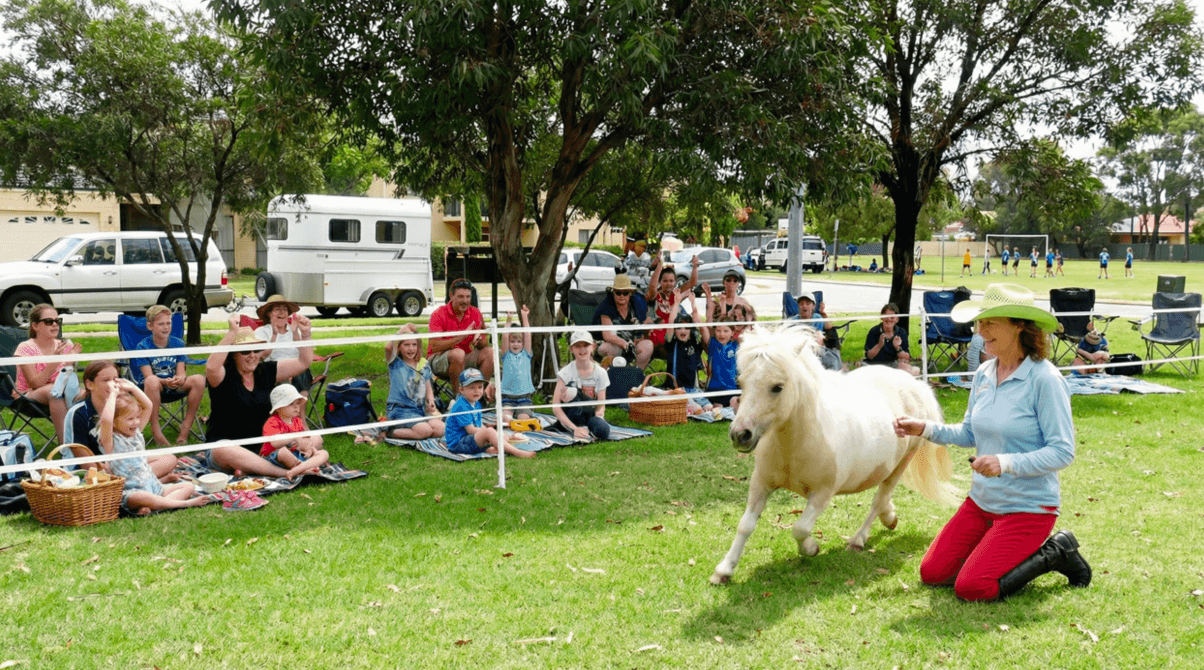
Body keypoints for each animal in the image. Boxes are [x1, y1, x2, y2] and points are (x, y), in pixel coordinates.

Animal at [710, 324, 958, 584]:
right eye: (741, 382)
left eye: (777, 387)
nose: (740, 434)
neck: (797, 442)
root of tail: (916, 385)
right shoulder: (761, 484)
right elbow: (745, 525)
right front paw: (724, 570)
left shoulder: (822, 494)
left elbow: (800, 528)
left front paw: (811, 549)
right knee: (883, 499)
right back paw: (890, 518)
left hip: (901, 464)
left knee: (878, 500)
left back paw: (858, 540)